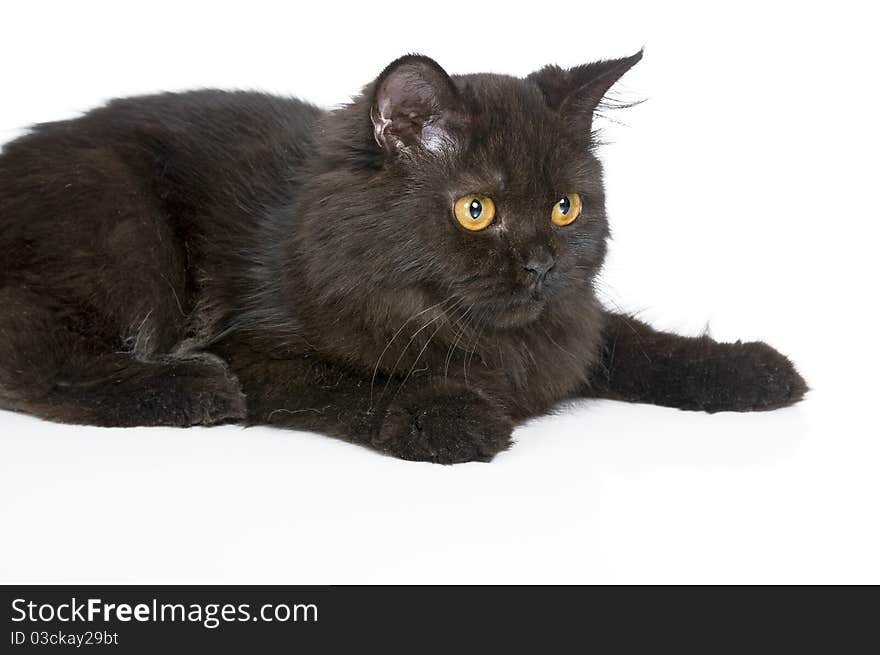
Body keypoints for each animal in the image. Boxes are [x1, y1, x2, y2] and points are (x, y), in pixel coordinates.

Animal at [0, 52, 808, 462]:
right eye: (477, 210)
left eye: (565, 208)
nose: (542, 265)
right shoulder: (255, 343)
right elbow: (353, 381)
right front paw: (451, 416)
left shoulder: (573, 329)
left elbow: (640, 341)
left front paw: (752, 369)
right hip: (123, 229)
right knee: (32, 360)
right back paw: (187, 388)